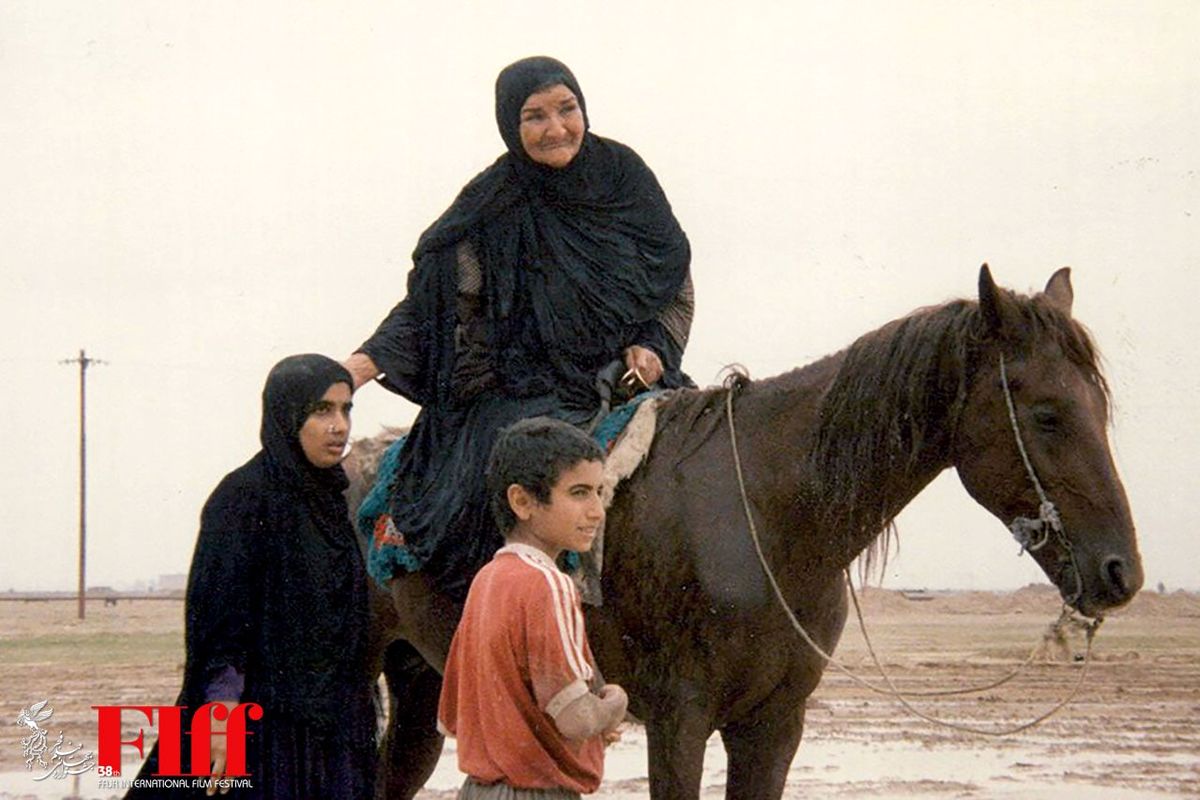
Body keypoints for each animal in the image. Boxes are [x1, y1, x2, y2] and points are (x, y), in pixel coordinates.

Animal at [357, 267, 1142, 800]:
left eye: (1099, 408)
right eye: (1047, 415)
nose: (1120, 573)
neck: (761, 520)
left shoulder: (774, 724)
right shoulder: (679, 718)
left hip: (423, 682)